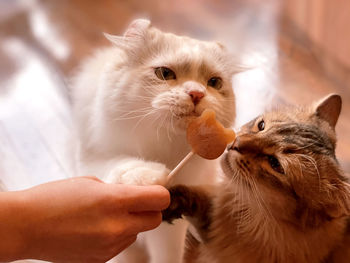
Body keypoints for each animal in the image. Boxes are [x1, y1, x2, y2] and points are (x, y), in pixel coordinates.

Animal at [73, 19, 238, 263]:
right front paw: (151, 176)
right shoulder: (94, 157)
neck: (164, 145)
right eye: (165, 73)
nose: (197, 93)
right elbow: (122, 165)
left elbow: (167, 255)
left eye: (214, 83)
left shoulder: (169, 231)